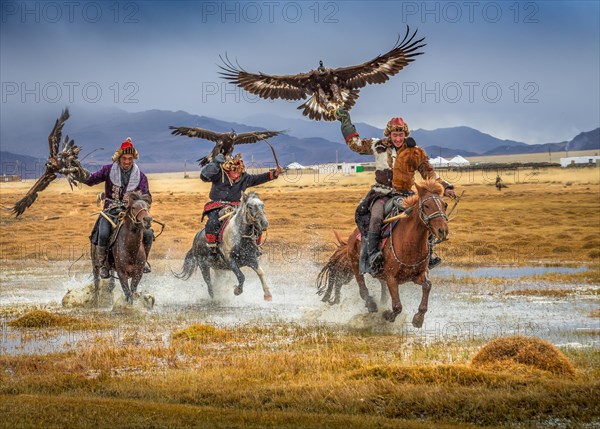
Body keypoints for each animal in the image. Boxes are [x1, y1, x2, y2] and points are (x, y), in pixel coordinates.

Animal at [316, 179, 448, 326]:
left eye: (445, 205)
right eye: (426, 205)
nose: (442, 230)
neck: (409, 245)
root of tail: (351, 237)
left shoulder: (418, 274)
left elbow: (427, 286)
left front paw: (418, 318)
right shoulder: (392, 278)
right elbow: (397, 306)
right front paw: (387, 315)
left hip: (377, 273)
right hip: (356, 265)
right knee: (362, 288)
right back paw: (372, 304)